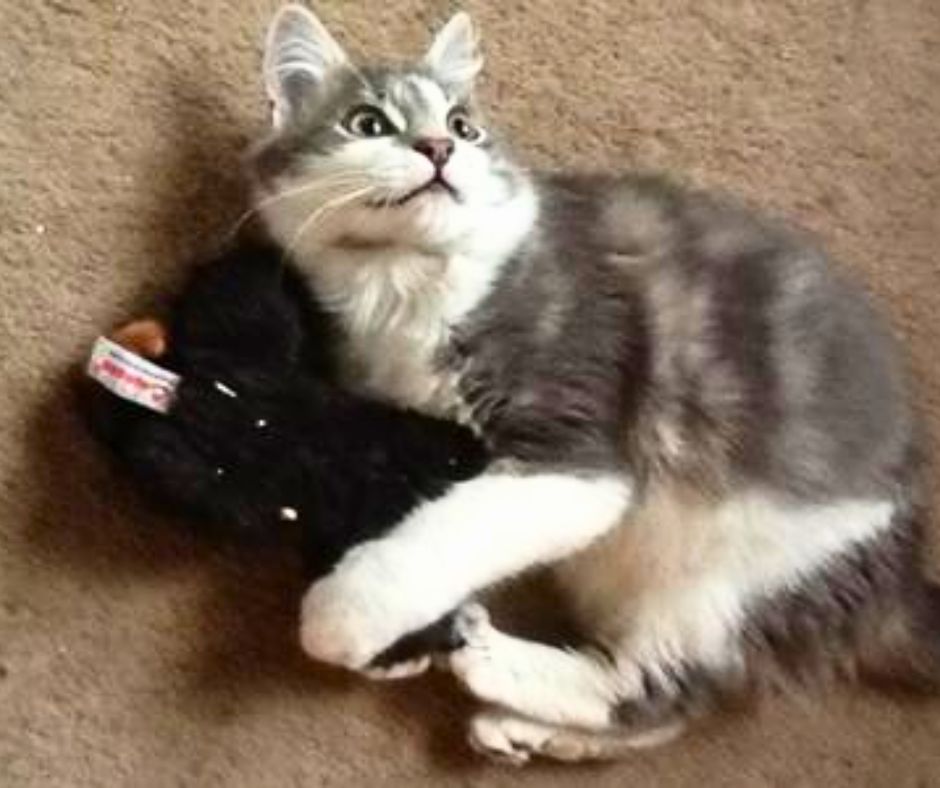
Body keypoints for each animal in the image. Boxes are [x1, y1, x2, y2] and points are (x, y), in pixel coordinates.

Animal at [246, 4, 936, 764]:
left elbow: (445, 532)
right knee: (653, 708)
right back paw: (519, 726)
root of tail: (901, 573)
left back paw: (485, 655)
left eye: (462, 124)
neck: (409, 283)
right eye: (368, 123)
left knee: (655, 690)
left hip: (735, 584)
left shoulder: (578, 453)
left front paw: (340, 616)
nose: (437, 147)